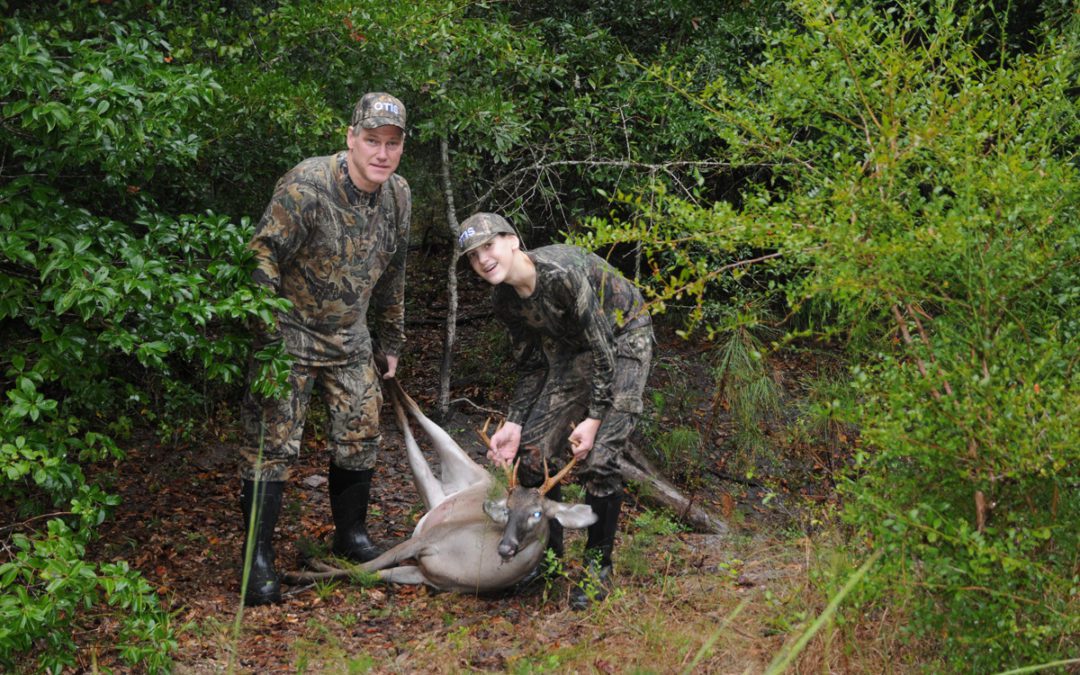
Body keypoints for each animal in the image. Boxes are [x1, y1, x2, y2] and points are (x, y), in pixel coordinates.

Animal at [282, 380, 596, 596]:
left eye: (537, 513)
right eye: (507, 509)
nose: (506, 547)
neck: (470, 567)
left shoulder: (425, 574)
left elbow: (367, 573)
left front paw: (311, 567)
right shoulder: (428, 537)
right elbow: (367, 566)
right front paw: (300, 572)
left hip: (432, 492)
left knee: (411, 434)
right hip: (453, 469)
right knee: (419, 415)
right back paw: (388, 370)